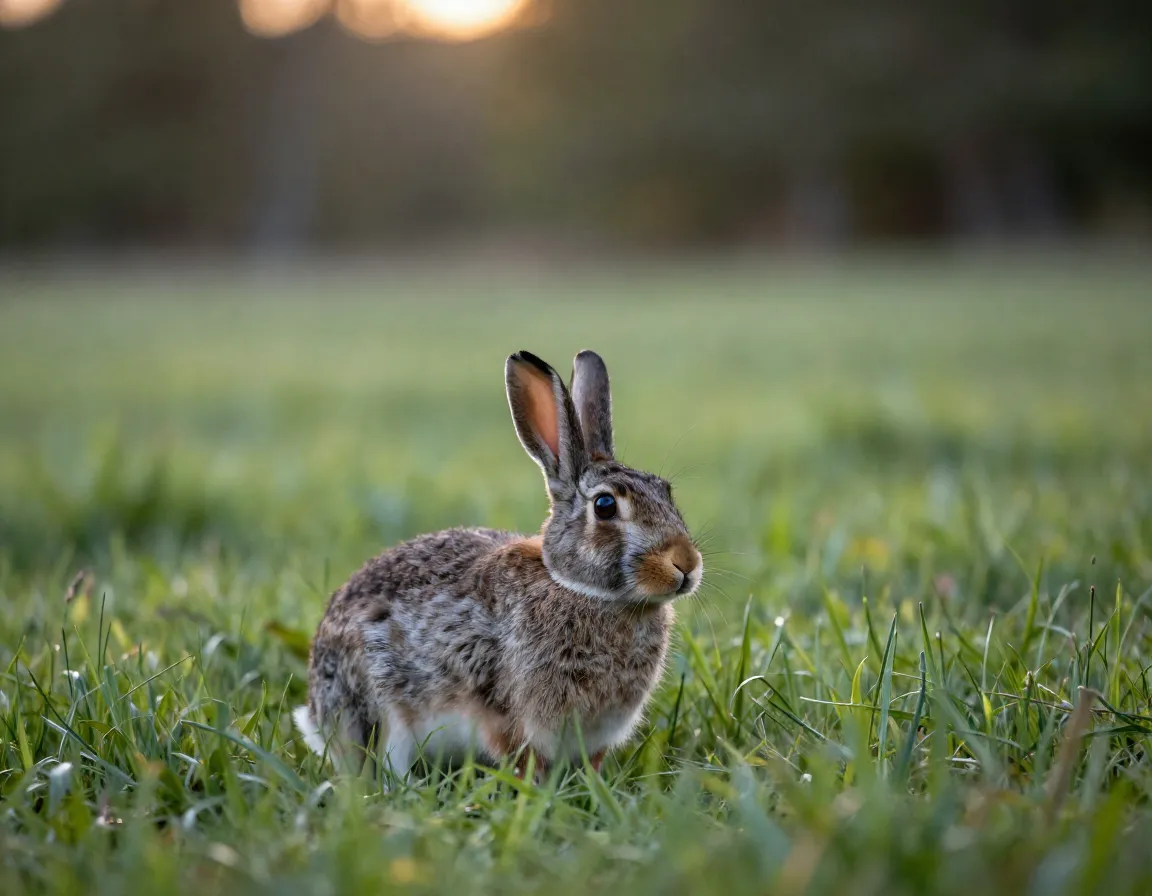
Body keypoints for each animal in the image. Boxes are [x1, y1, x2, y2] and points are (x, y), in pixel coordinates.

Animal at [292, 350, 703, 782]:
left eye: (666, 492)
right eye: (605, 506)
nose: (686, 565)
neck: (580, 589)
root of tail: (317, 714)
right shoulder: (509, 717)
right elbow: (523, 759)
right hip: (381, 711)